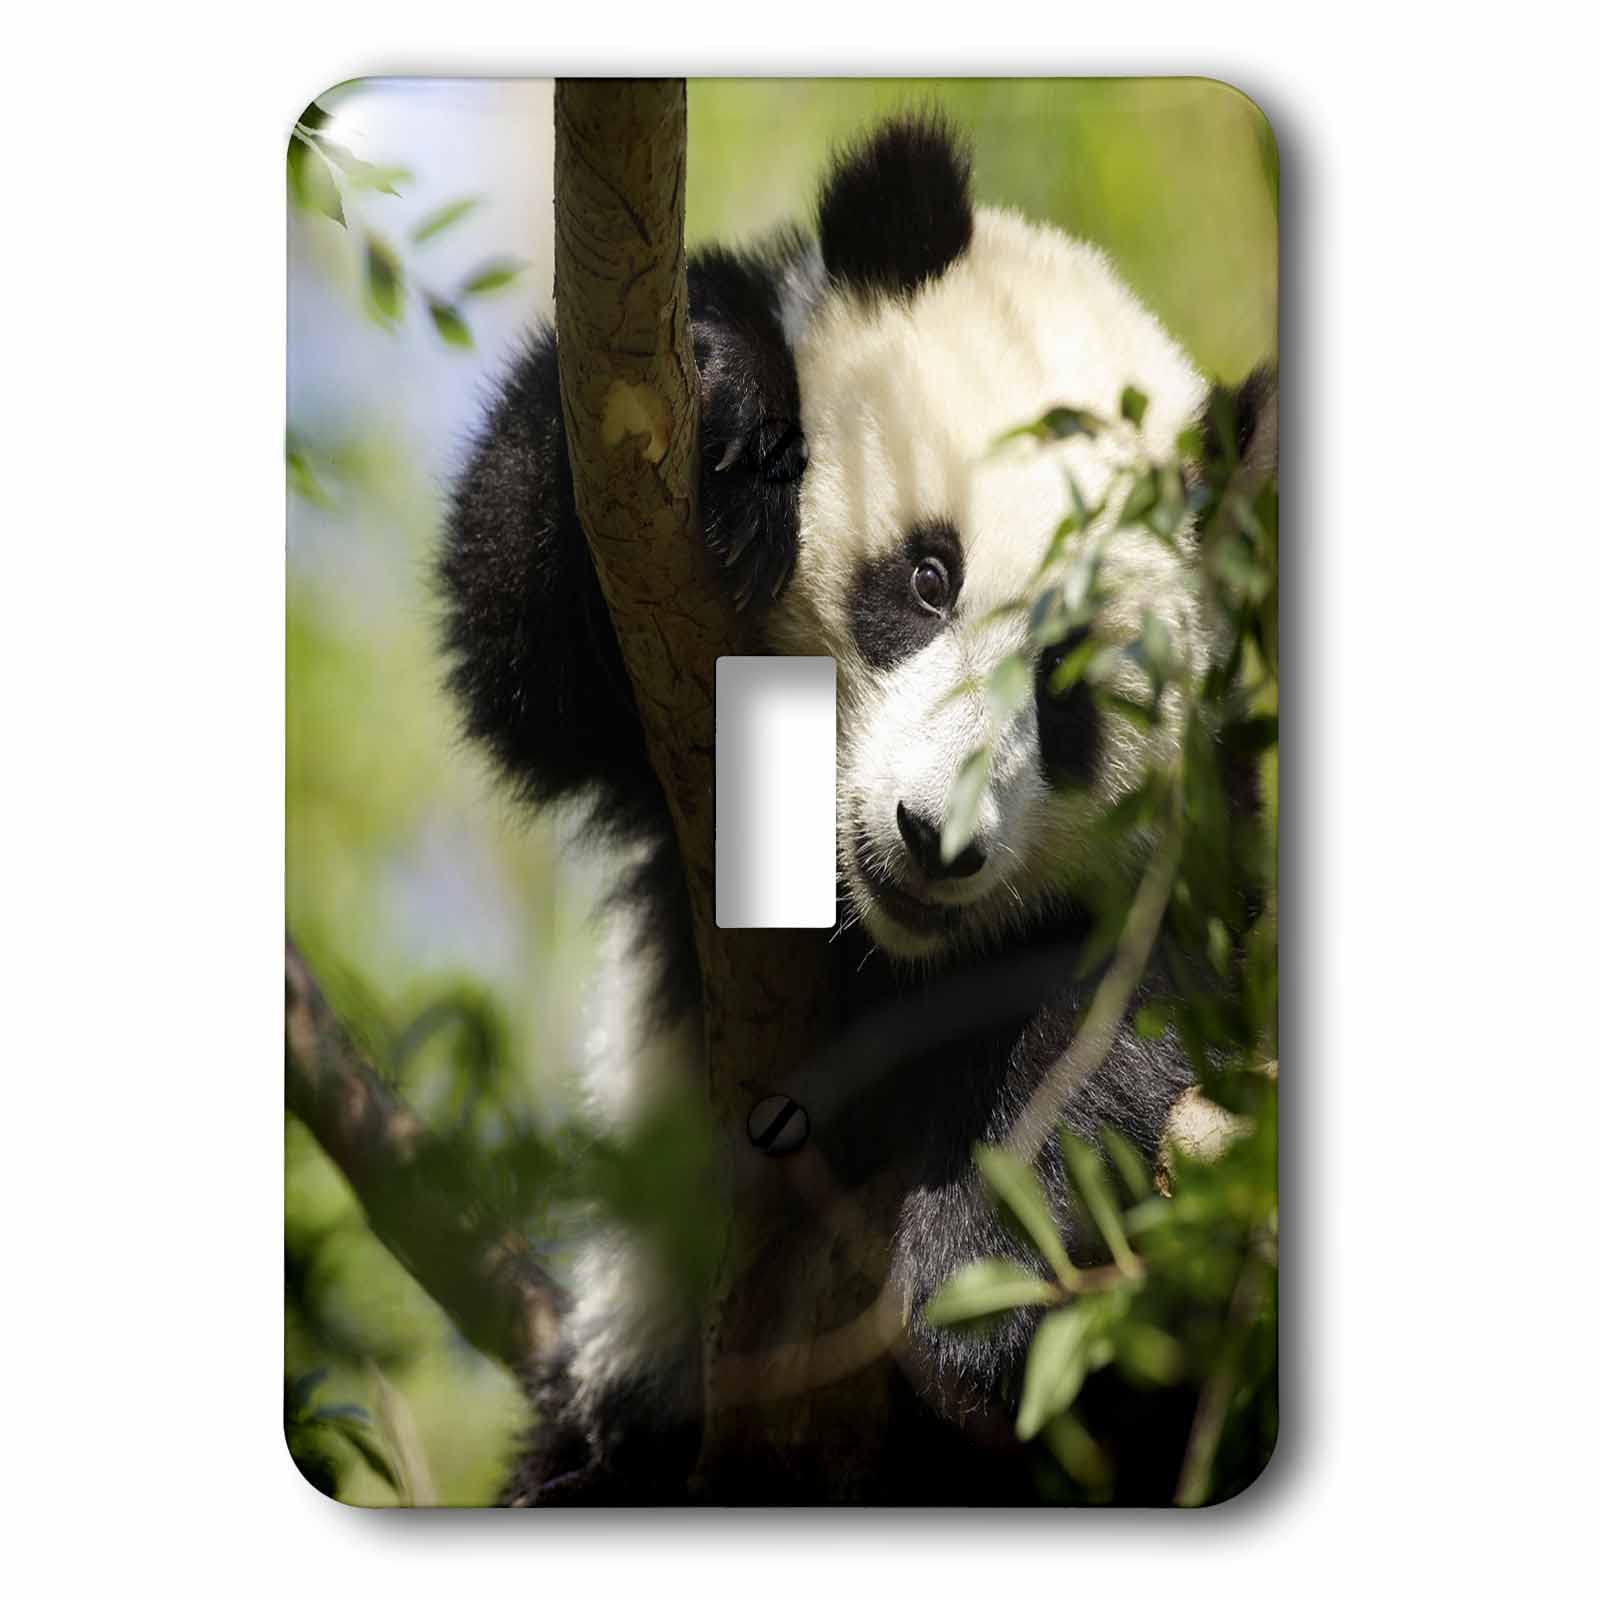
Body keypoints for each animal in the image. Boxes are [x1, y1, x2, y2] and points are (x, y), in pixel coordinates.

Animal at [438, 113, 1275, 1505]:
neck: (873, 941)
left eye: (1069, 685)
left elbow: (1145, 991)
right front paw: (730, 403)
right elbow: (519, 631)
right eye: (926, 578)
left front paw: (982, 1260)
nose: (934, 839)